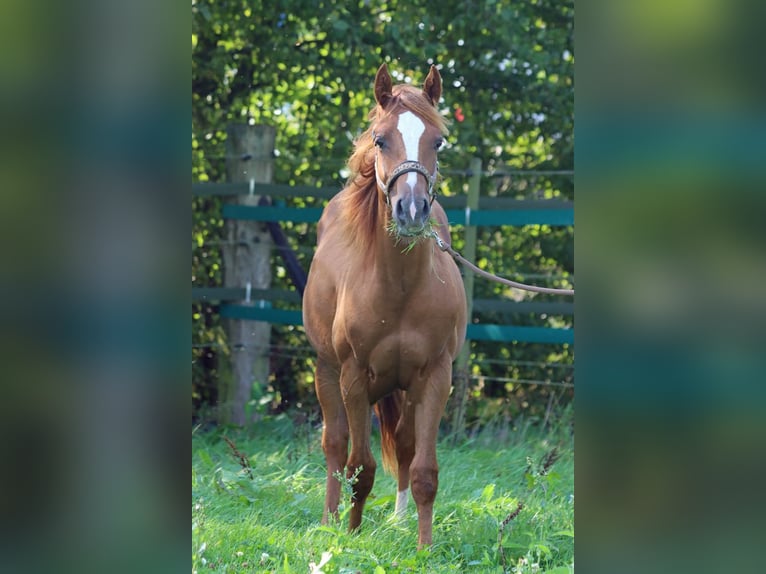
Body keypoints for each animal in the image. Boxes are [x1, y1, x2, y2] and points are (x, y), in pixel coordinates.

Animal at [304, 64, 472, 548]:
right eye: (380, 140)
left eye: (438, 141)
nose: (411, 211)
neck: (399, 288)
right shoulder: (354, 377)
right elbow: (360, 467)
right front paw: (351, 535)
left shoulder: (435, 377)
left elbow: (424, 470)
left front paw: (424, 547)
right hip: (326, 372)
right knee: (335, 445)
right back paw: (330, 519)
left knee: (404, 443)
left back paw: (397, 521)